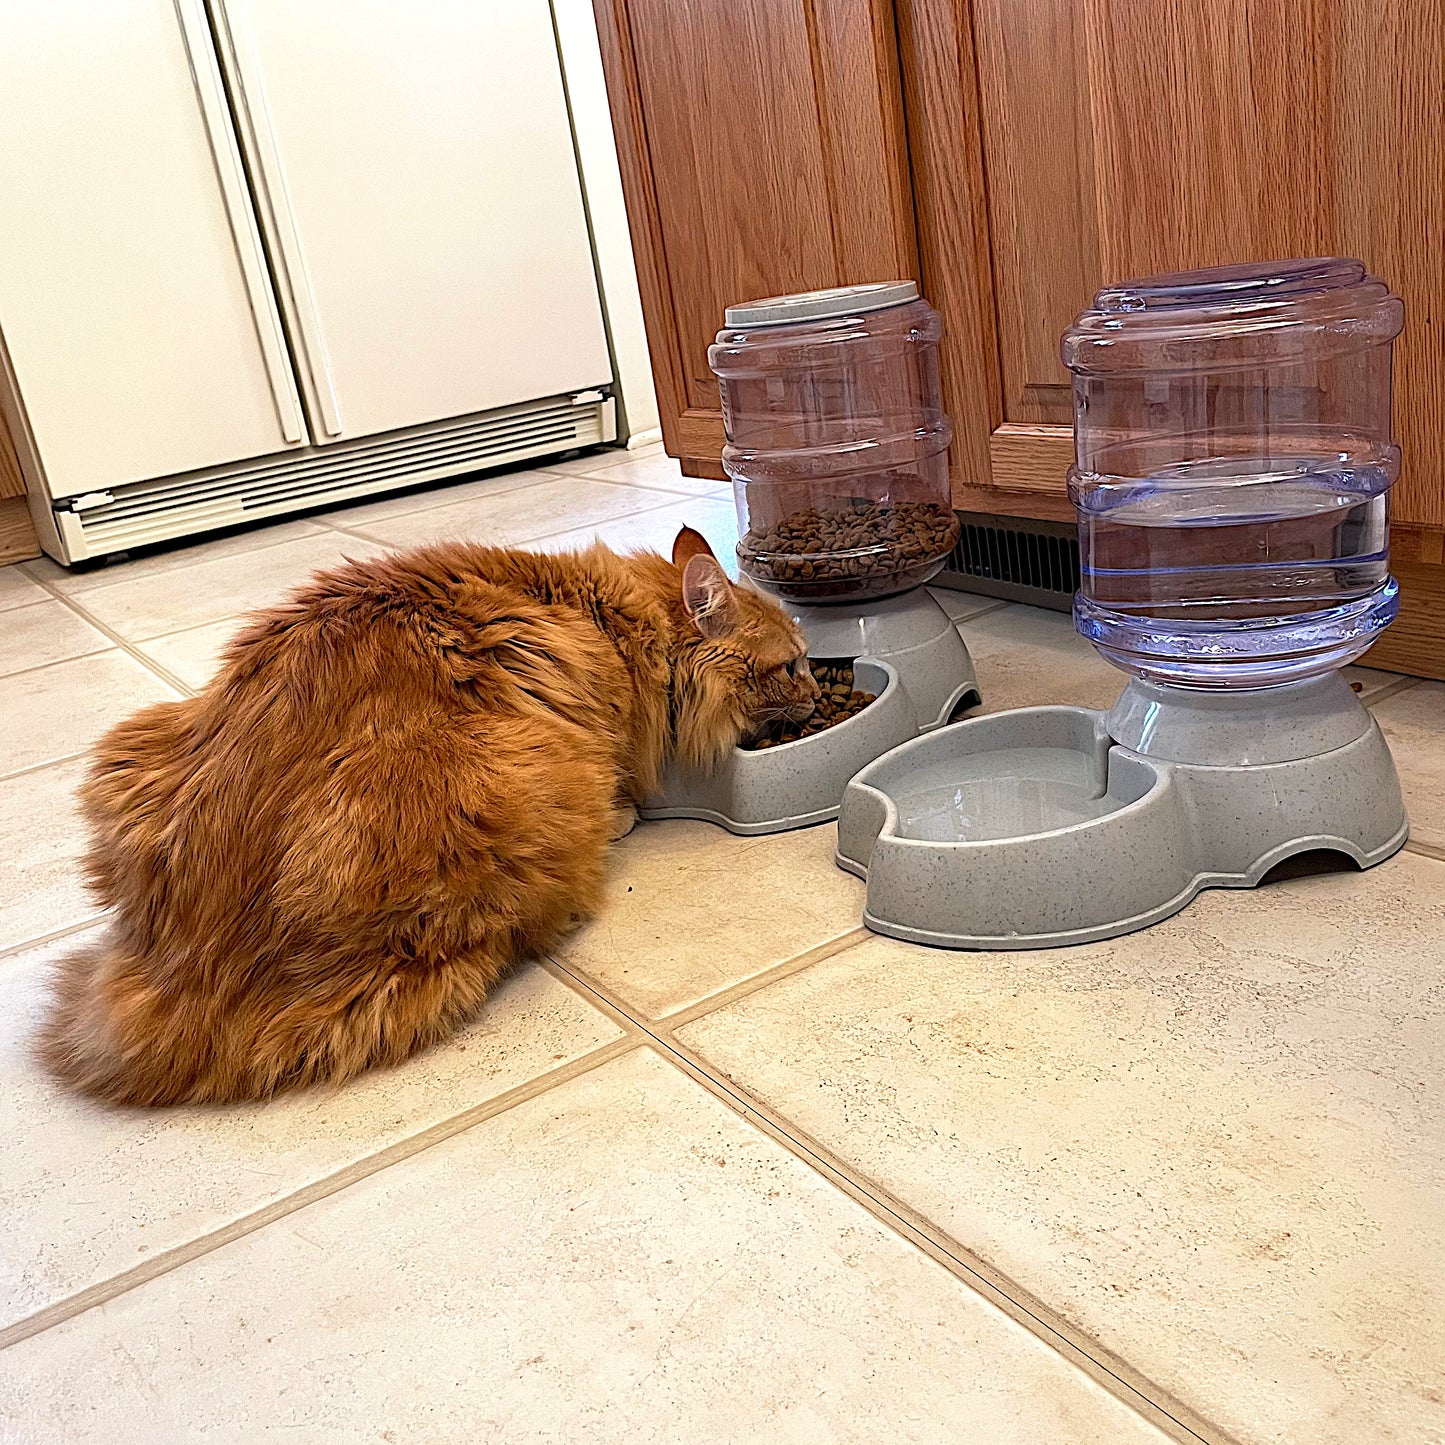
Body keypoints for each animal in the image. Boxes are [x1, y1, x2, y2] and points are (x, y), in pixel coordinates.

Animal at [42, 531, 814, 1103]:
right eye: (792, 666)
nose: (815, 690)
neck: (610, 621)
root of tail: (186, 971)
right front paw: (631, 807)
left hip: (132, 745)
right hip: (528, 774)